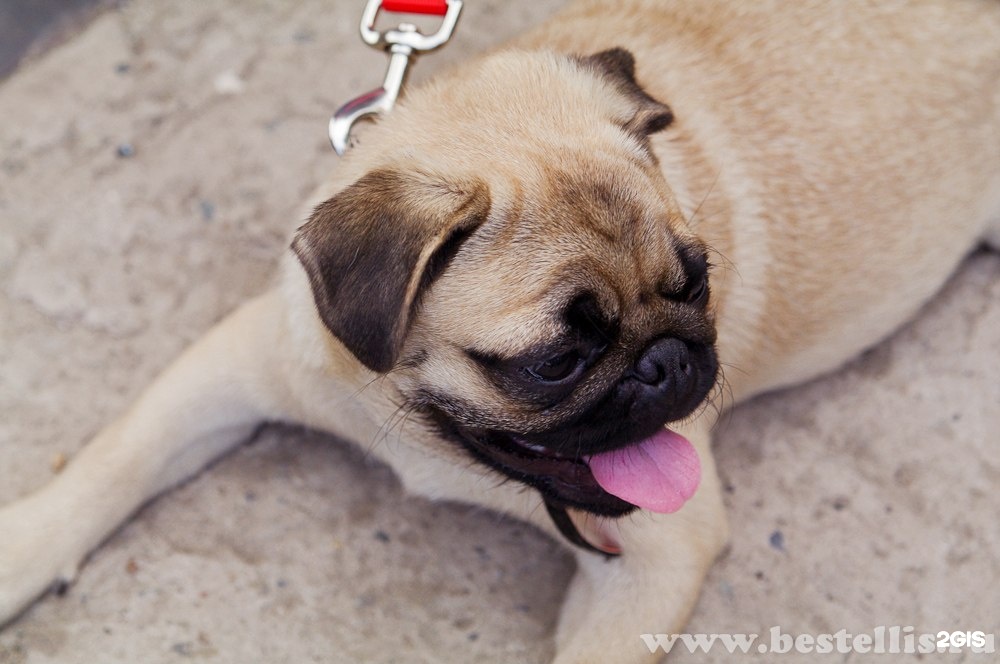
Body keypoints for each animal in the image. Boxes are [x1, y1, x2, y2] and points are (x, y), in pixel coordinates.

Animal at [1, 0, 1000, 660]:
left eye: (698, 282)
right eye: (556, 362)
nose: (671, 360)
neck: (413, 425)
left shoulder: (654, 557)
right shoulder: (237, 363)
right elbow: (112, 459)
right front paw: (20, 552)